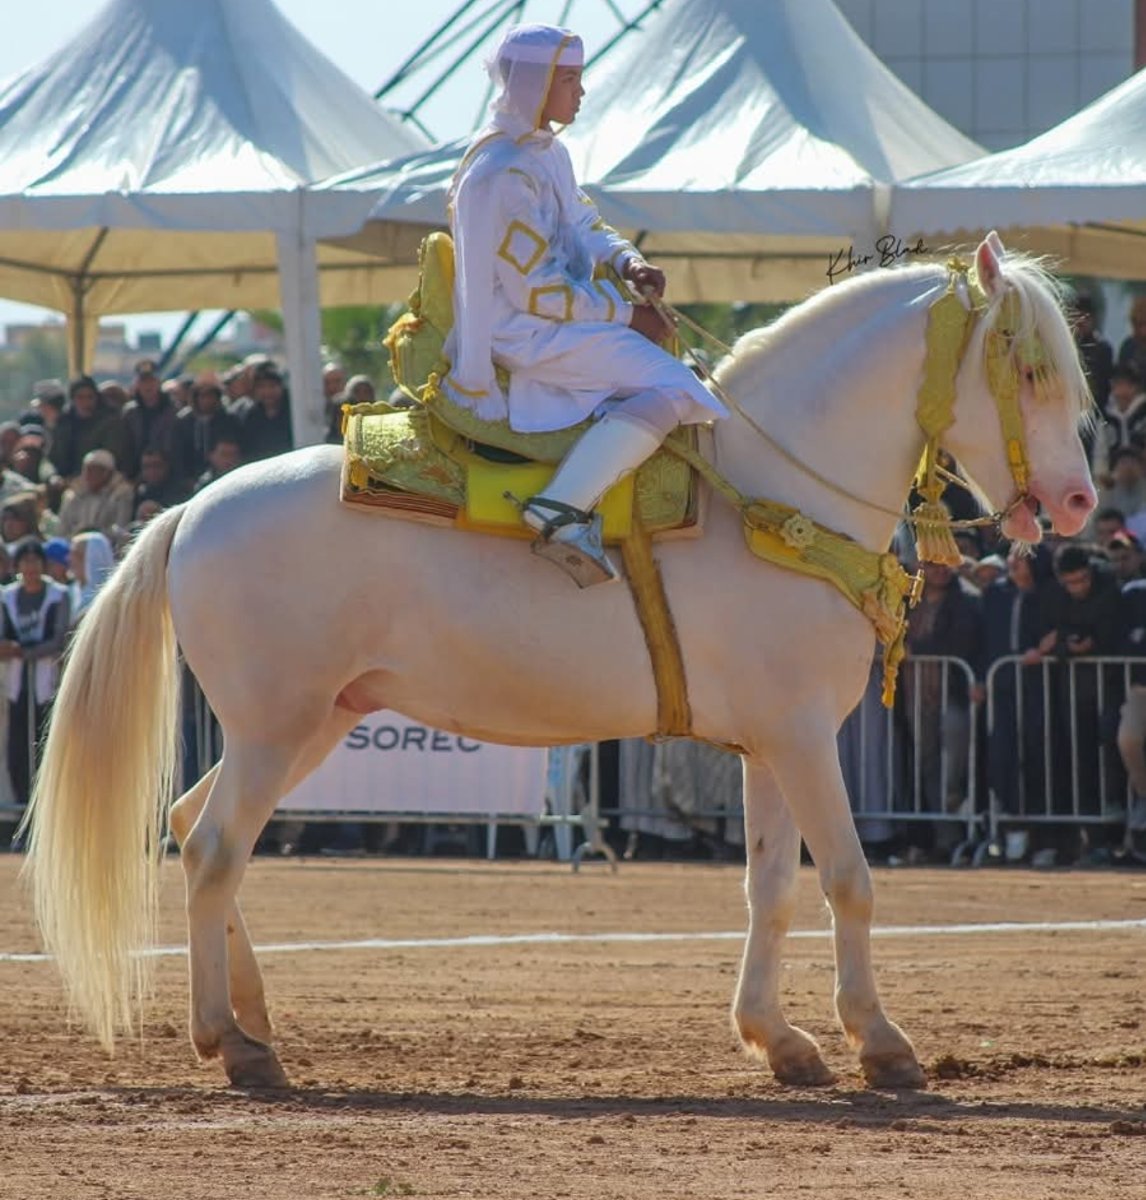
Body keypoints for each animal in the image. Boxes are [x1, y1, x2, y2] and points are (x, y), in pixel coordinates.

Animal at [22, 234, 1095, 1091]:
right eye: (1026, 367)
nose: (1080, 503)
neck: (775, 499)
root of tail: (190, 509)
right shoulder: (802, 738)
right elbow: (847, 879)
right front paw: (879, 1042)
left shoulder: (769, 745)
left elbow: (772, 887)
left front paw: (778, 1039)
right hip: (275, 728)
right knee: (213, 850)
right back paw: (230, 1043)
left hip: (313, 722)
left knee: (195, 828)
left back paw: (253, 1020)